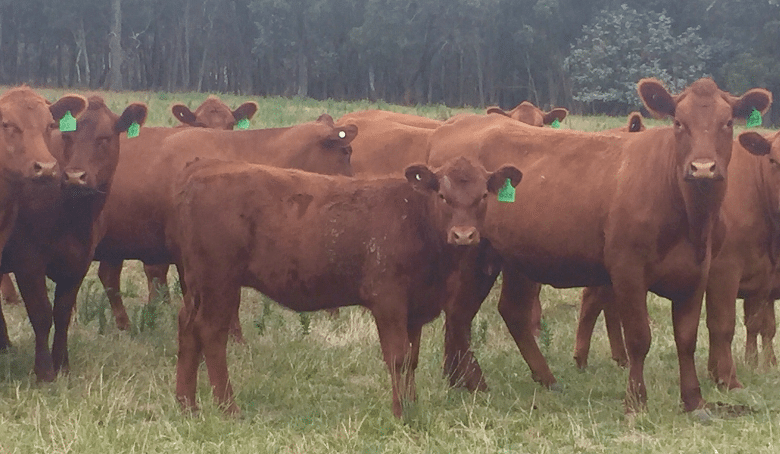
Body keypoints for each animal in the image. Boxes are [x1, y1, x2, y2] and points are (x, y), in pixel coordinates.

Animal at [171, 156, 522, 418]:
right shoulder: (388, 302)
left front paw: (413, 404)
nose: (463, 235)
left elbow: (412, 359)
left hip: (198, 284)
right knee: (211, 333)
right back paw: (228, 407)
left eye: (484, 196)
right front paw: (400, 412)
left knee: (187, 327)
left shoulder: (416, 308)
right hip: (219, 282)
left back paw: (187, 404)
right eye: (443, 196)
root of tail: (201, 173)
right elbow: (397, 357)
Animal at [428, 78, 772, 413]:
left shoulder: (698, 271)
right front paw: (636, 400)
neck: (690, 218)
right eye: (678, 122)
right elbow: (638, 337)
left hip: (511, 258)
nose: (702, 168)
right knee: (459, 312)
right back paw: (471, 380)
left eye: (727, 122)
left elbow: (686, 338)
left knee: (504, 311)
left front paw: (694, 400)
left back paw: (512, 379)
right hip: (469, 249)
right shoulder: (628, 269)